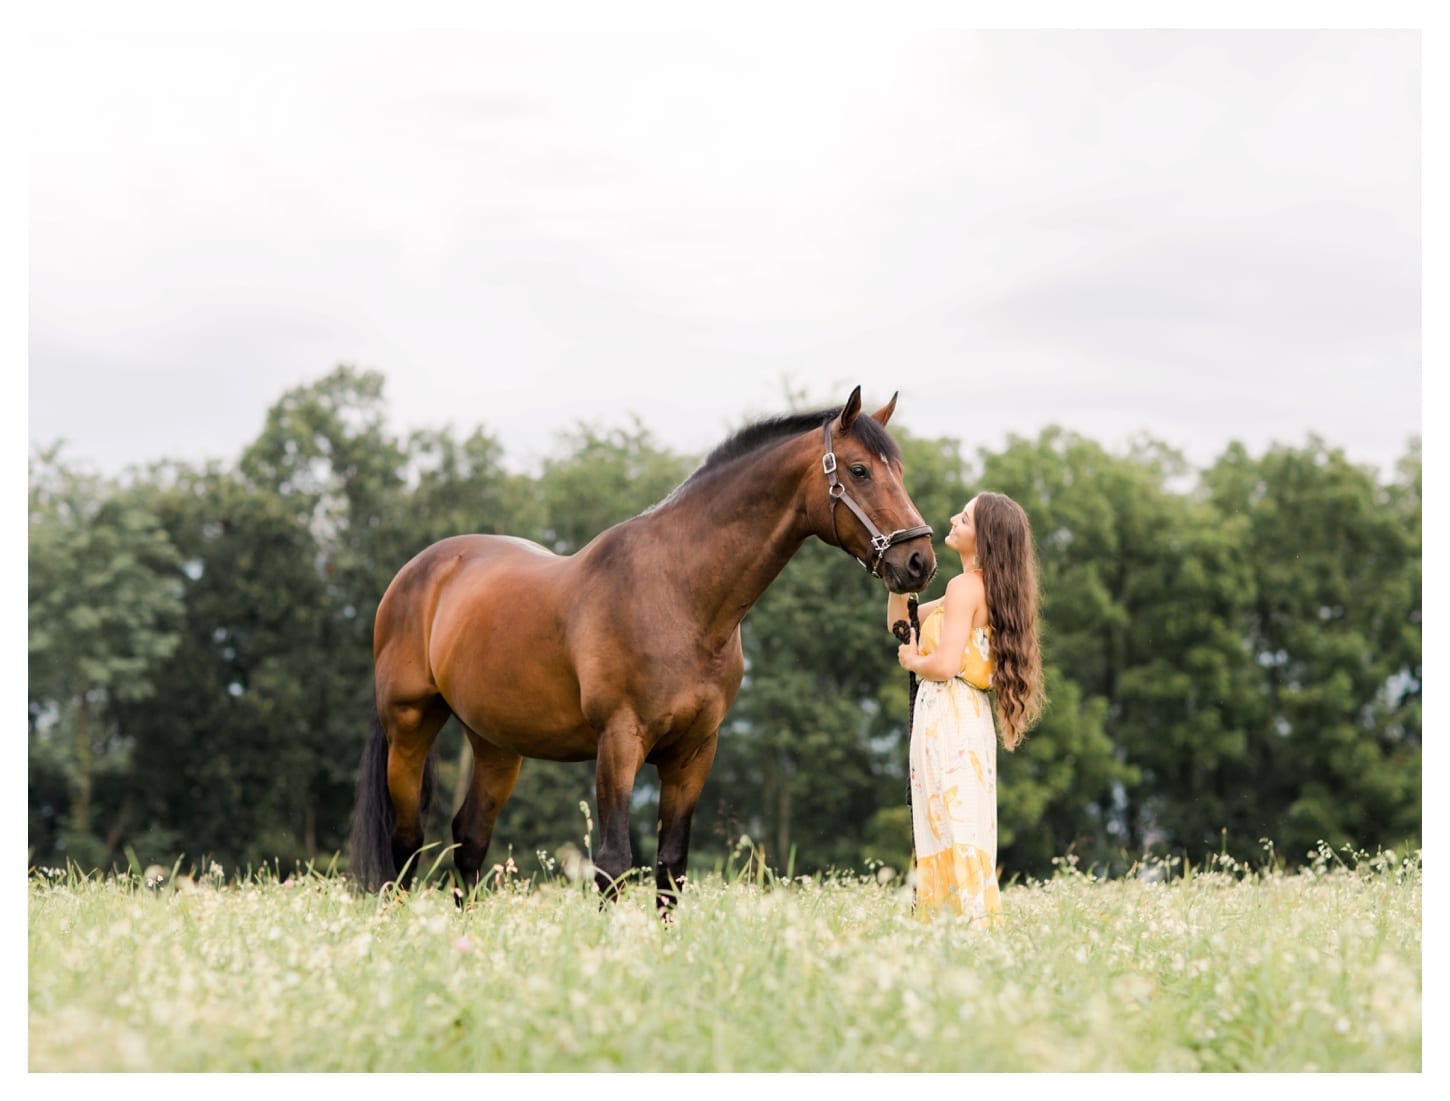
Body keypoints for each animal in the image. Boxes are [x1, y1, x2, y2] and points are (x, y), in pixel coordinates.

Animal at [350, 388, 939, 910]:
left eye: (899, 470)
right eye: (859, 471)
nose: (919, 561)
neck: (678, 596)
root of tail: (419, 570)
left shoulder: (694, 752)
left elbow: (671, 867)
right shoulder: (618, 742)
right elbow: (613, 863)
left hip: (496, 743)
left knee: (469, 838)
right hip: (410, 727)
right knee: (405, 843)